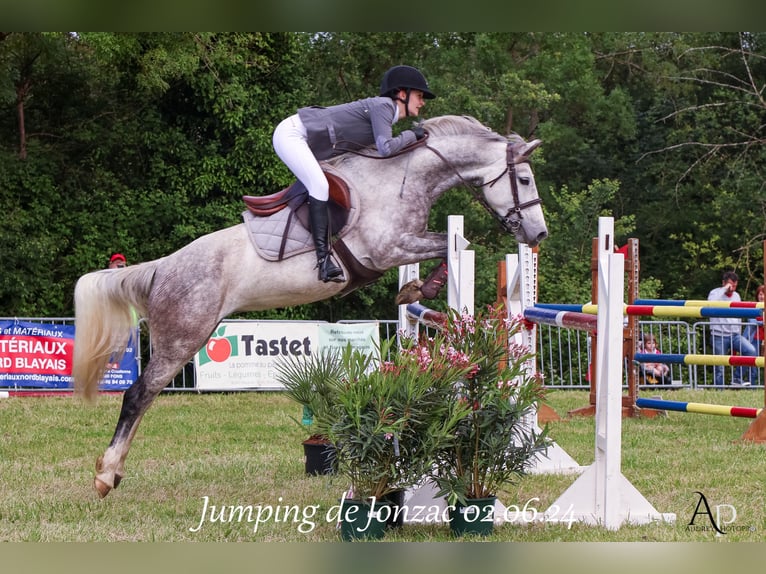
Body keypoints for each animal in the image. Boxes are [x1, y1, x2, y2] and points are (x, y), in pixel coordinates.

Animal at [72, 113, 548, 500]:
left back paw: (114, 473)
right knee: (138, 395)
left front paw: (414, 290)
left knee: (147, 397)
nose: (538, 234)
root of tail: (162, 268)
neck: (405, 177)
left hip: (190, 334)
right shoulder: (388, 248)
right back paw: (105, 476)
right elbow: (462, 244)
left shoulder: (402, 245)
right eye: (524, 181)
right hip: (182, 336)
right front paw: (420, 288)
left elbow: (455, 247)